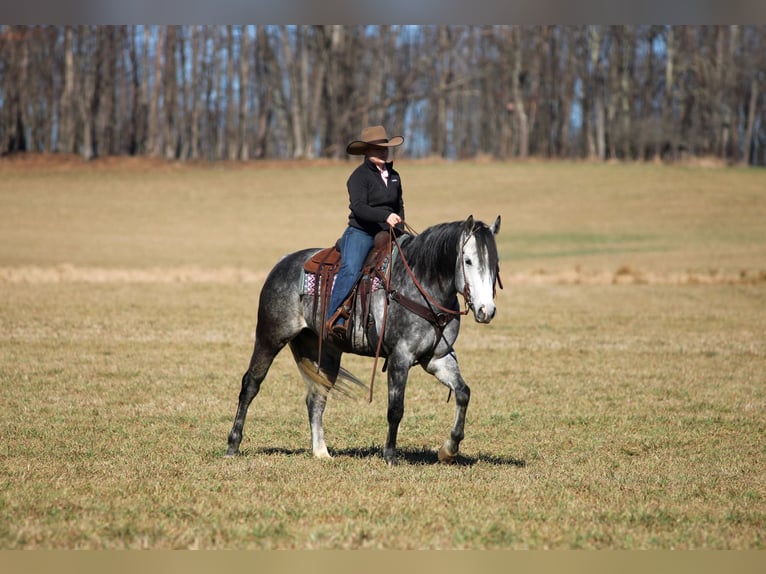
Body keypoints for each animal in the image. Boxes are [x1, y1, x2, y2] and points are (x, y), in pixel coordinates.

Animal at [226, 214, 502, 466]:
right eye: (468, 260)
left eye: (496, 263)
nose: (486, 310)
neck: (421, 286)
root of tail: (283, 262)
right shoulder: (400, 358)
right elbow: (396, 409)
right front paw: (390, 456)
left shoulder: (437, 359)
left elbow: (463, 393)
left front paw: (449, 450)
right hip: (270, 337)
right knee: (250, 385)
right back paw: (233, 445)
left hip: (324, 352)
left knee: (316, 398)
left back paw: (321, 452)